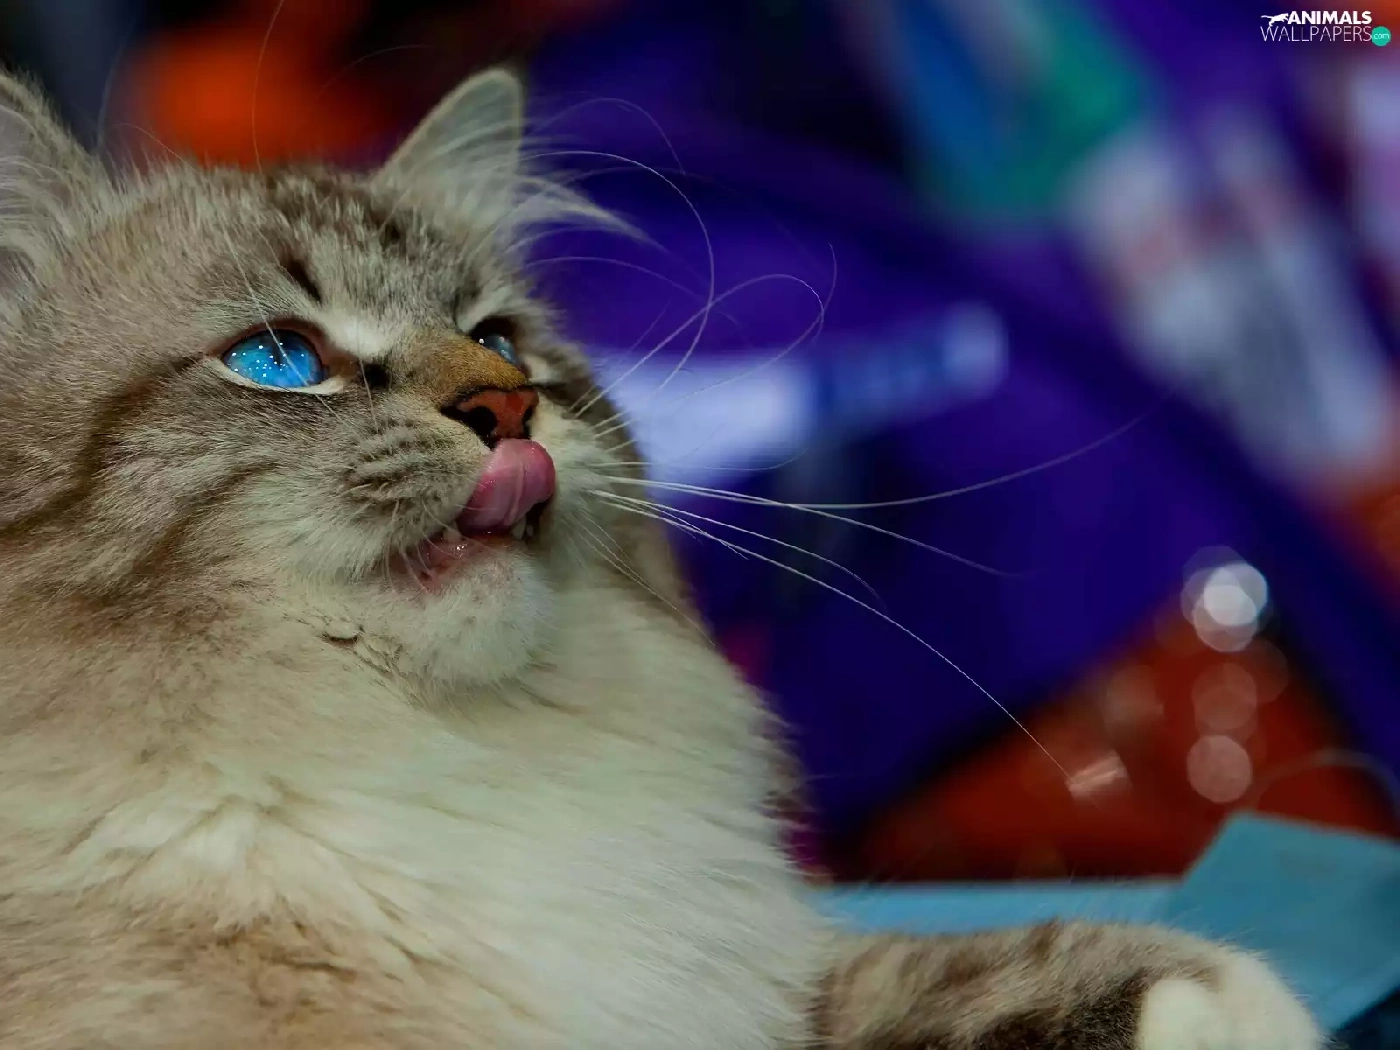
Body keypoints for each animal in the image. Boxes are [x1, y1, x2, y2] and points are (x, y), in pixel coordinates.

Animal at [0, 67, 1322, 1049]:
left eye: (499, 343)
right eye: (277, 361)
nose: (508, 412)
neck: (416, 760)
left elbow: (945, 969)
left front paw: (1225, 1001)